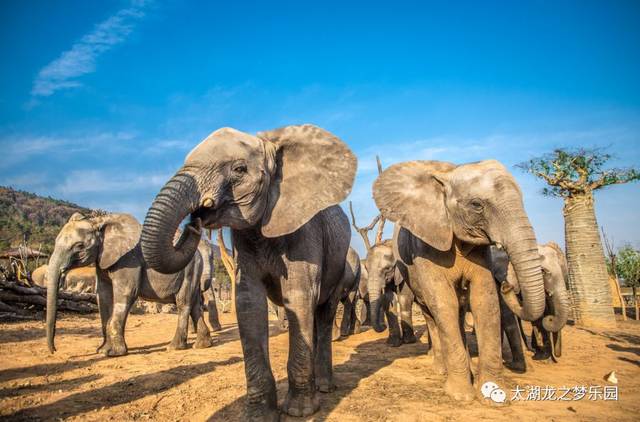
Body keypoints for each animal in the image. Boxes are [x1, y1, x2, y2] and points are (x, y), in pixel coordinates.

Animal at [48, 213, 212, 354]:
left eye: (79, 246)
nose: (54, 350)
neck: (99, 221)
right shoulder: (103, 261)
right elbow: (103, 296)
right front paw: (102, 350)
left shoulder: (128, 261)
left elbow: (126, 293)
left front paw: (113, 353)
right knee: (194, 303)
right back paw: (202, 345)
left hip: (189, 270)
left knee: (183, 302)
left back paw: (174, 348)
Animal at [140, 123, 358, 418]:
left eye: (239, 169)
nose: (194, 222)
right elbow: (248, 302)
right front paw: (259, 415)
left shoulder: (305, 230)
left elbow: (298, 296)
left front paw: (299, 411)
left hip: (340, 263)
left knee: (323, 313)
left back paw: (324, 388)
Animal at [372, 159, 548, 402]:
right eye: (476, 205)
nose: (507, 285)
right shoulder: (425, 245)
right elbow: (443, 303)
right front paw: (460, 395)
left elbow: (484, 301)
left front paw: (493, 394)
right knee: (432, 314)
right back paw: (440, 369)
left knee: (460, 311)